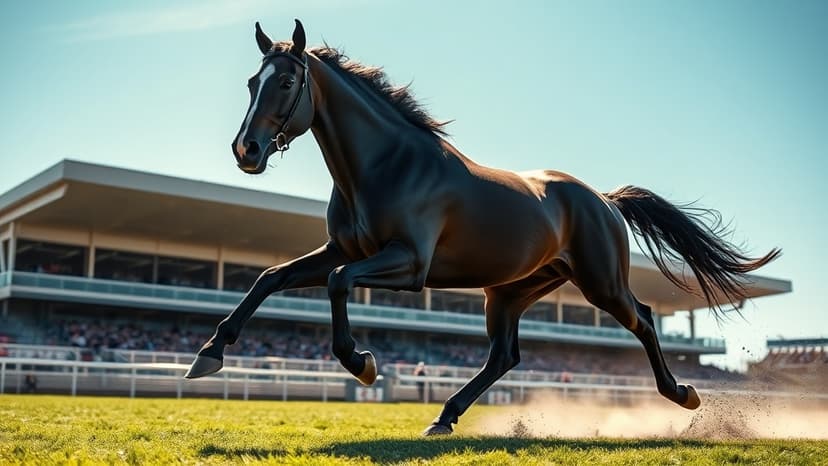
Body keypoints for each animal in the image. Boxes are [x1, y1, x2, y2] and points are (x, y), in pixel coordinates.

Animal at [185, 19, 781, 435]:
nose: (246, 150)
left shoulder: (408, 266)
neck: (387, 166)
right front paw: (208, 354)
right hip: (511, 291)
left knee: (645, 320)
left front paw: (363, 364)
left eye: (287, 81)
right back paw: (443, 416)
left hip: (601, 283)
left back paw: (683, 394)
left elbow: (335, 285)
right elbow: (270, 277)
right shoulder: (342, 249)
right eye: (251, 81)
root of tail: (603, 200)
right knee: (505, 355)